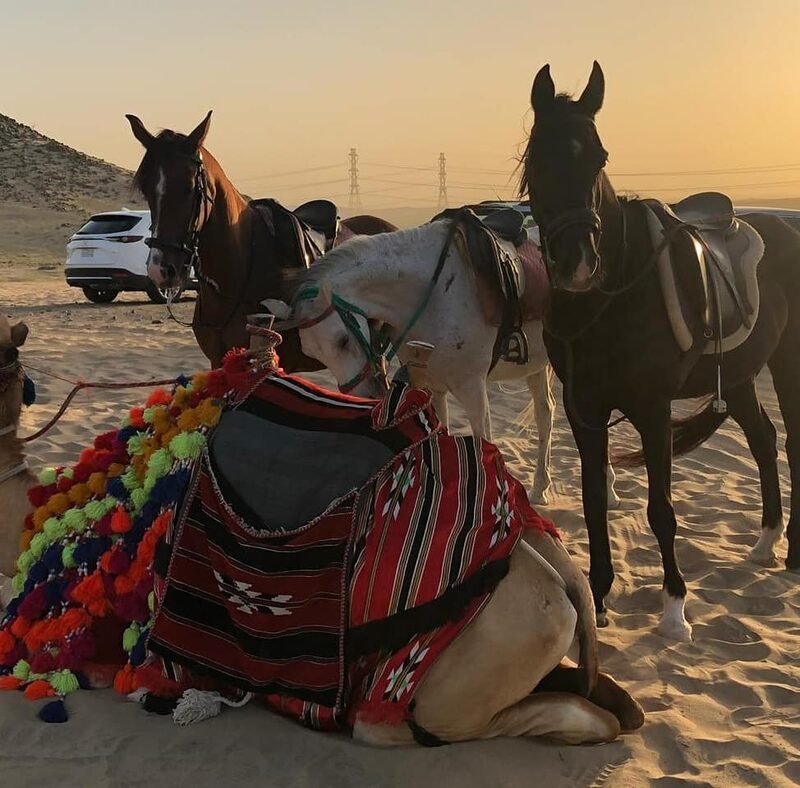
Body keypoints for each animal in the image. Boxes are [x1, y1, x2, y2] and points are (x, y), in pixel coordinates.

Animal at [264, 221, 619, 507]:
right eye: (313, 352)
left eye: (341, 340)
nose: (364, 394)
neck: (434, 293)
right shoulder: (432, 386)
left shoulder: (472, 387)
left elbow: (483, 441)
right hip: (536, 366)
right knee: (546, 416)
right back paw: (540, 488)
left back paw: (610, 492)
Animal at [520, 61, 800, 640]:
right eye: (537, 157)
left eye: (599, 157)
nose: (578, 263)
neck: (613, 297)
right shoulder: (585, 410)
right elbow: (594, 501)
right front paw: (600, 596)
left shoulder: (651, 410)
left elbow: (661, 510)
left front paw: (675, 610)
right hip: (739, 376)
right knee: (763, 440)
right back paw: (764, 542)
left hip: (787, 365)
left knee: (792, 443)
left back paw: (793, 554)